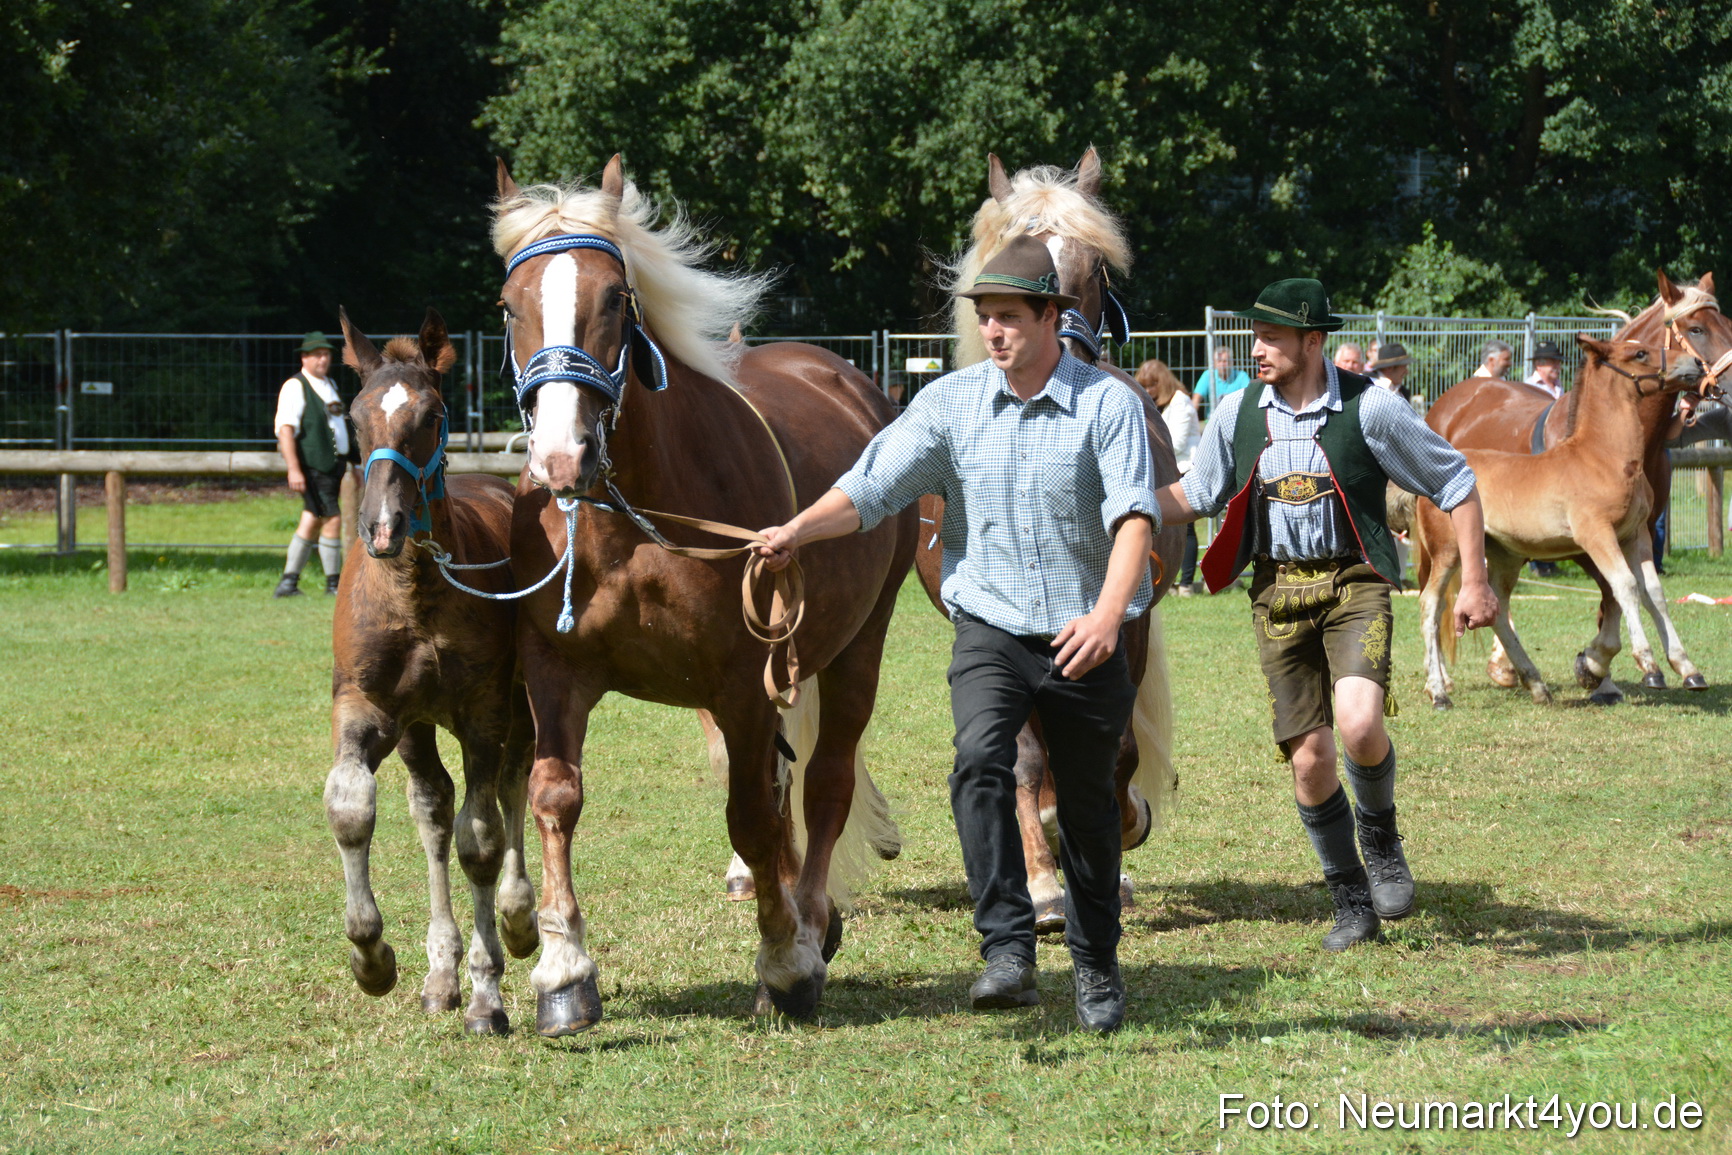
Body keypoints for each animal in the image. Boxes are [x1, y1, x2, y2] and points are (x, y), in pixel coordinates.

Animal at [323, 307, 538, 1035]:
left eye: (434, 414)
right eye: (354, 417)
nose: (381, 526)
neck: (415, 592)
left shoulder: (484, 712)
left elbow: (482, 840)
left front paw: (487, 992)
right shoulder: (365, 707)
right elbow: (352, 808)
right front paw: (371, 957)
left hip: (521, 704)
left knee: (513, 786)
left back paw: (521, 920)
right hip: (418, 726)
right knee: (434, 807)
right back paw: (440, 972)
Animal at [493, 156, 916, 1034]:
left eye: (613, 300)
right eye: (509, 305)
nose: (560, 456)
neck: (636, 515)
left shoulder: (742, 684)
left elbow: (752, 815)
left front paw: (784, 959)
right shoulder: (556, 671)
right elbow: (555, 796)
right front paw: (563, 970)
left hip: (857, 644)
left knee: (825, 782)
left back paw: (810, 922)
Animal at [910, 148, 1183, 933]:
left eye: (1095, 269)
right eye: (1008, 260)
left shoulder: (1126, 621)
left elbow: (1114, 749)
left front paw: (1118, 842)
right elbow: (1028, 758)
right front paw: (1040, 886)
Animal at [1414, 270, 1729, 702]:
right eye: (1640, 354)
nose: (1696, 365)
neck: (1601, 455)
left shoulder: (1636, 535)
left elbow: (1651, 591)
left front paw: (1684, 667)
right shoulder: (1593, 536)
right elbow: (1624, 587)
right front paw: (1637, 665)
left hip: (1504, 554)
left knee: (1496, 607)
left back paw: (1533, 682)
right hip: (1447, 550)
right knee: (1431, 604)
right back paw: (1440, 688)